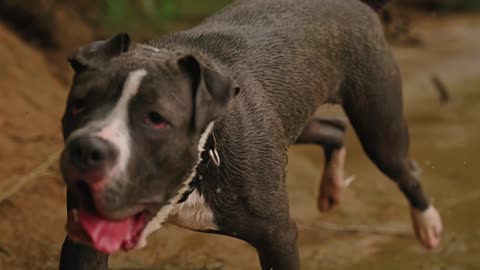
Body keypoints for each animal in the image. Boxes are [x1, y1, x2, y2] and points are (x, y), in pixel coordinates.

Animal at [59, 1, 442, 268]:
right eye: (78, 105)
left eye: (157, 120)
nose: (88, 150)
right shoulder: (83, 243)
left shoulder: (278, 237)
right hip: (291, 120)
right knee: (334, 129)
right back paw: (331, 188)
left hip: (379, 123)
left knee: (403, 167)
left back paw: (428, 225)